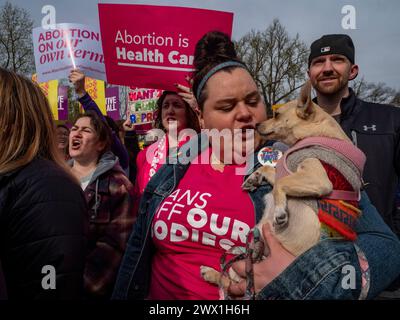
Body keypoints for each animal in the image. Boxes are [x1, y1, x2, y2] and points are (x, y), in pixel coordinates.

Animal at [202, 80, 364, 292]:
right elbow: (270, 169)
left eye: (277, 114)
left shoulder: (319, 178)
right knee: (229, 277)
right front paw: (254, 178)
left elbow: (281, 182)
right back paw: (211, 273)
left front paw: (280, 211)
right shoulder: (286, 170)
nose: (256, 124)